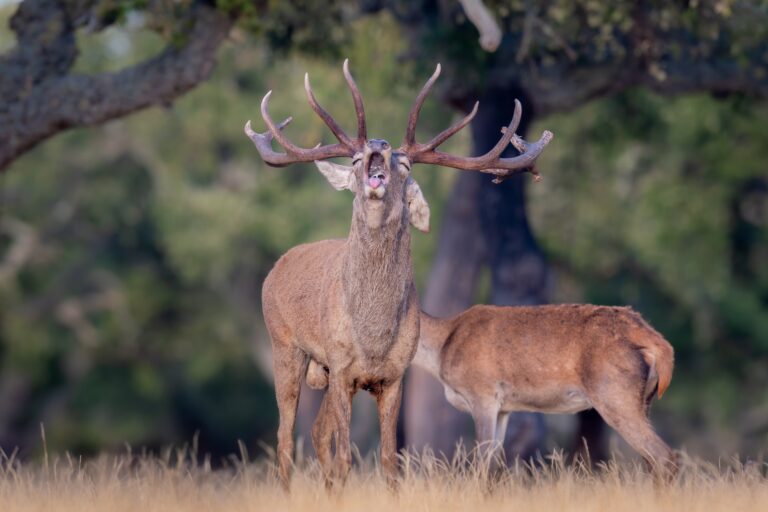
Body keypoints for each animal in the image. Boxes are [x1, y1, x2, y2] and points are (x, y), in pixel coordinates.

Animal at [244, 60, 553, 488]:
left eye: (404, 164)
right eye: (355, 160)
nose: (378, 145)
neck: (372, 337)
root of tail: (278, 265)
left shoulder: (394, 376)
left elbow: (390, 462)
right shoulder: (342, 367)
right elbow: (346, 459)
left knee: (318, 434)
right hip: (284, 344)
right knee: (285, 437)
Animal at [307, 304, 676, 478]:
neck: (440, 349)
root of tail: (659, 344)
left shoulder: (482, 393)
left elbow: (480, 465)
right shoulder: (505, 408)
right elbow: (494, 465)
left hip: (614, 393)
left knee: (665, 457)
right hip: (643, 401)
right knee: (652, 461)